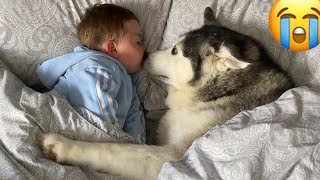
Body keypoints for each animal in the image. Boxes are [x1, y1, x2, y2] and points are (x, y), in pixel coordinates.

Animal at [38, 7, 292, 180]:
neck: (222, 92)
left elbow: (115, 149)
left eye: (174, 51)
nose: (146, 54)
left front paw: (63, 146)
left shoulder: (172, 159)